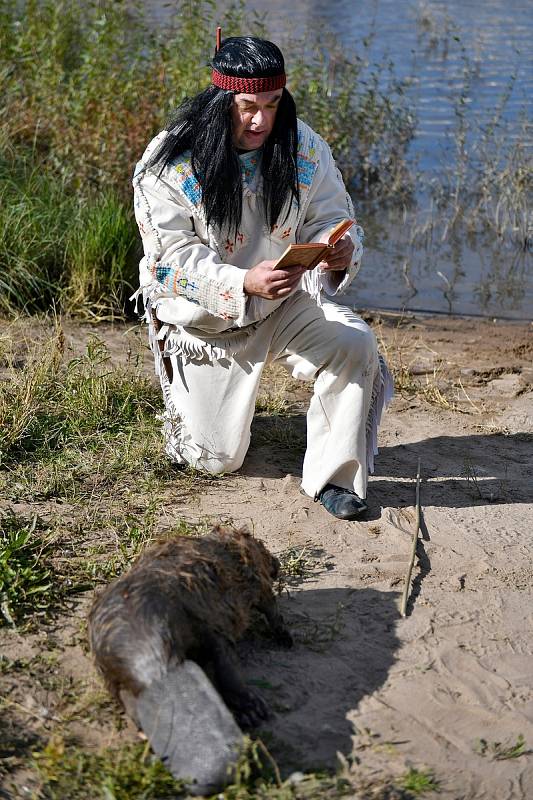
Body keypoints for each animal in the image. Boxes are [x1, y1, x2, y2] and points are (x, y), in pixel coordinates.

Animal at [87, 524, 290, 792]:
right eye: (265, 547)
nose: (277, 563)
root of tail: (159, 674)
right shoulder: (257, 580)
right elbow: (270, 607)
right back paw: (253, 710)